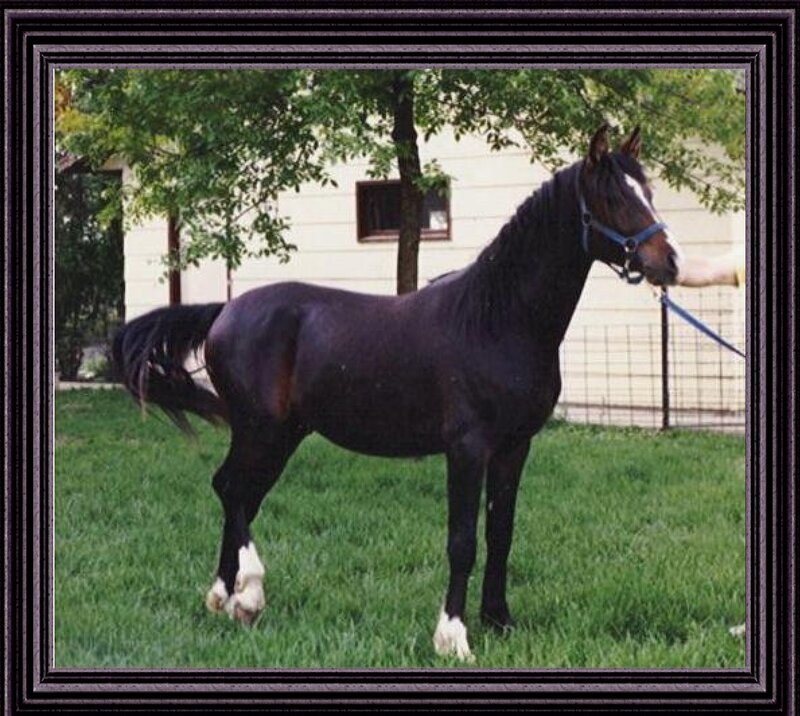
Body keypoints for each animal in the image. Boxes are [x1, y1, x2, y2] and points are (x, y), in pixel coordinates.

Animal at [113, 125, 683, 662]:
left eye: (648, 191)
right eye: (612, 198)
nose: (669, 263)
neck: (497, 319)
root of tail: (224, 311)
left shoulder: (515, 447)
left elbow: (501, 533)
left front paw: (499, 621)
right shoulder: (467, 448)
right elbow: (463, 541)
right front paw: (453, 637)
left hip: (283, 435)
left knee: (240, 494)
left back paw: (226, 599)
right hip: (261, 430)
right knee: (231, 490)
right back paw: (248, 594)